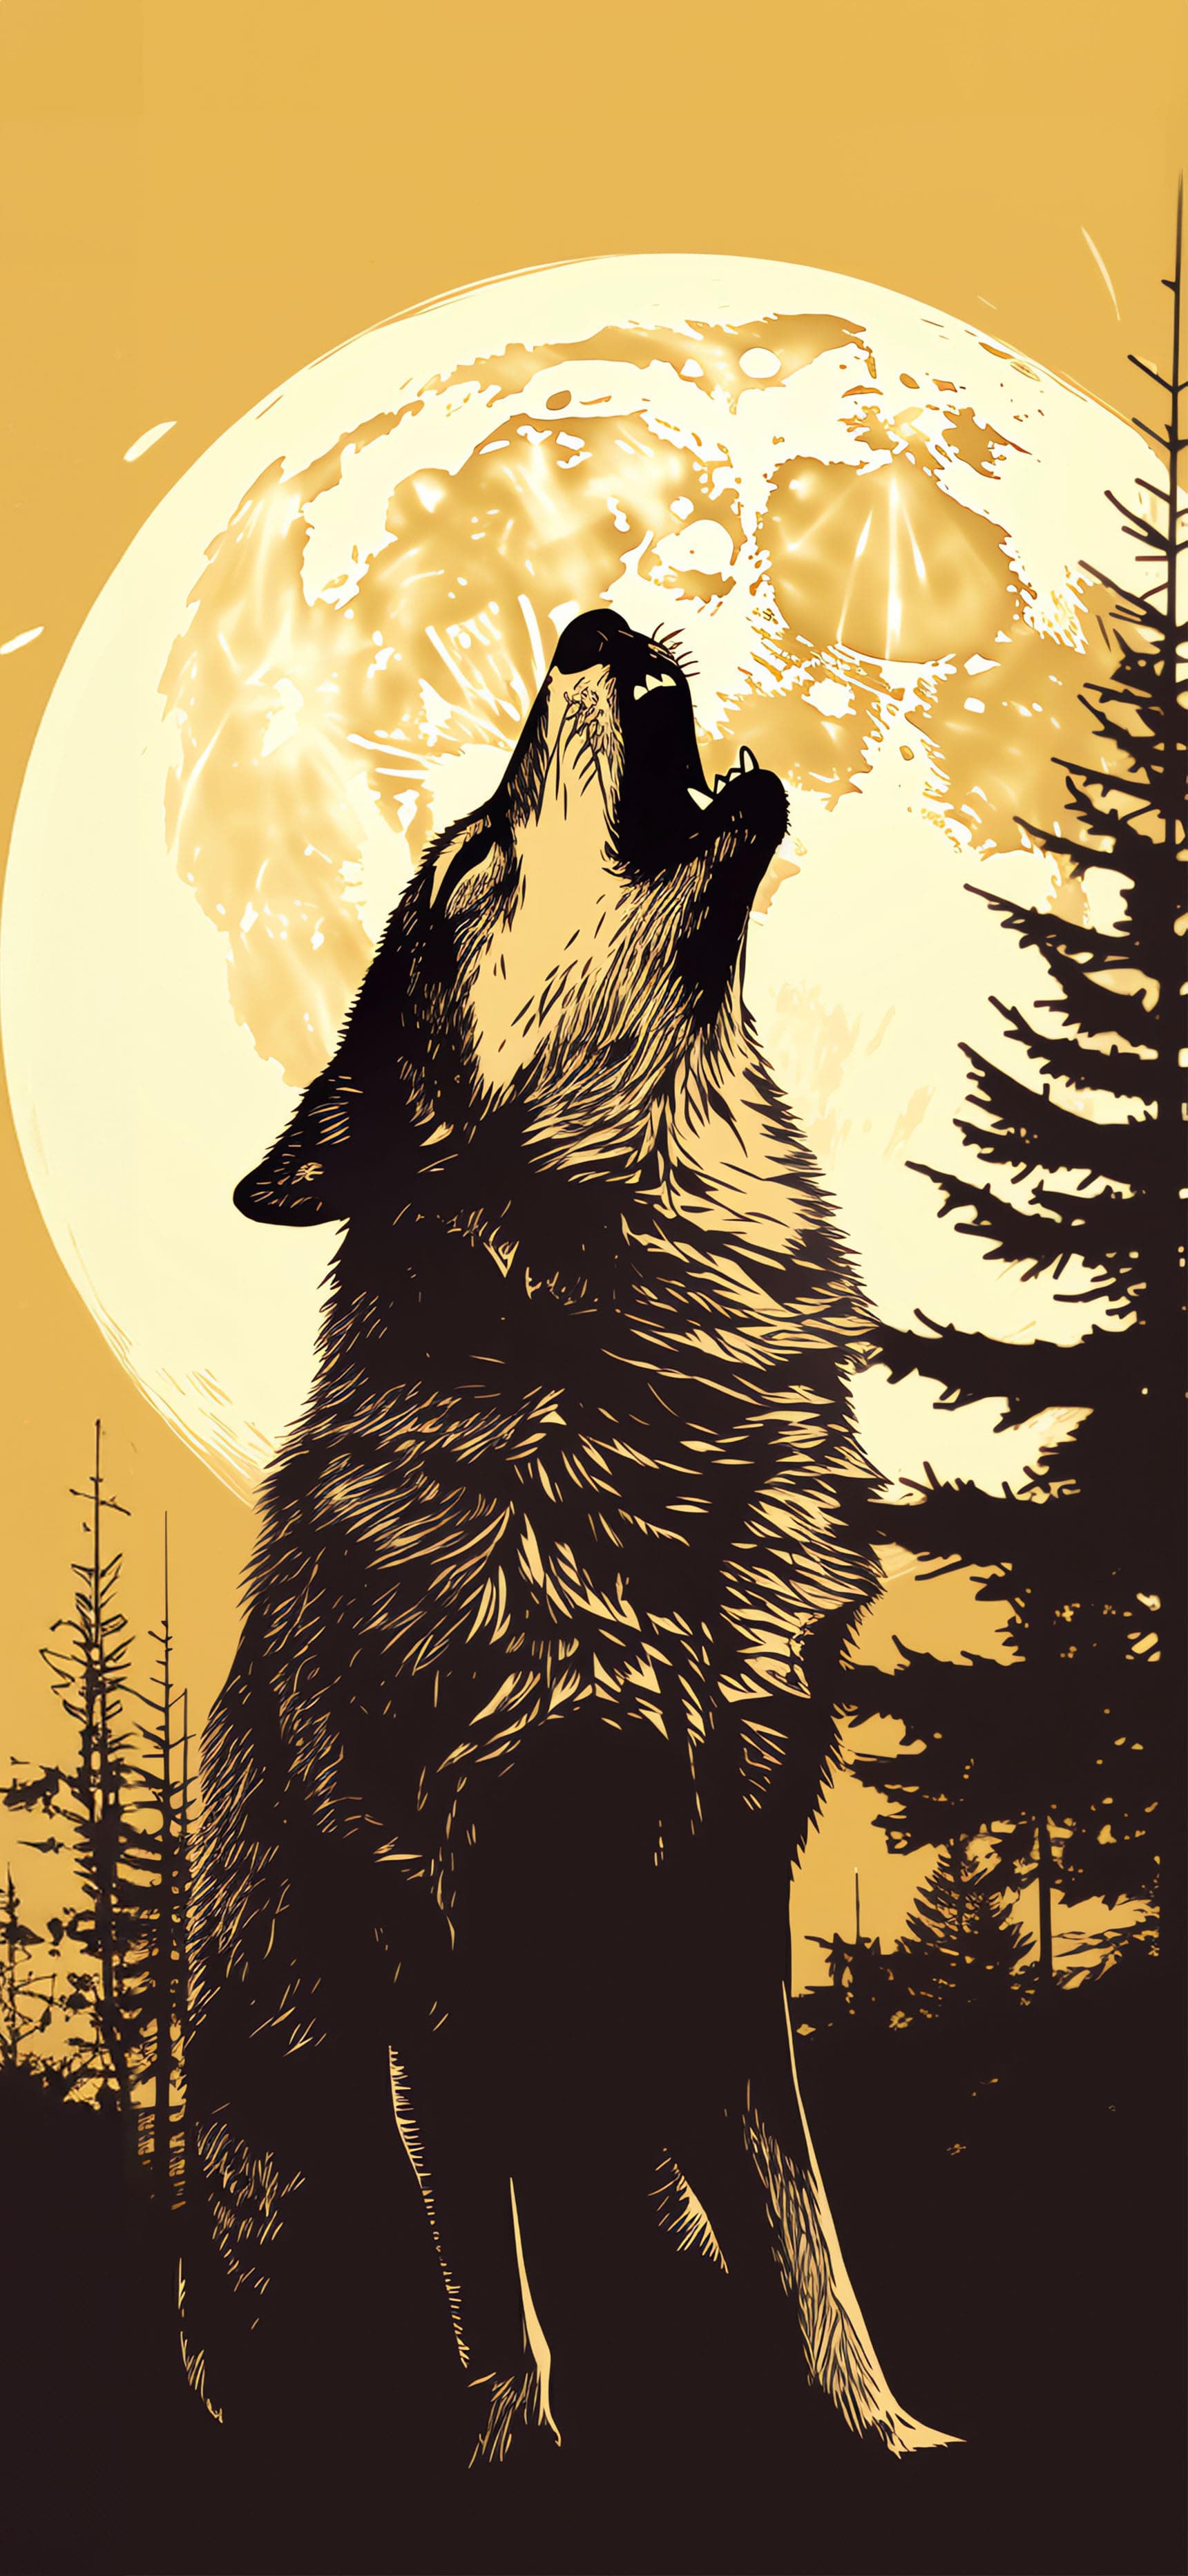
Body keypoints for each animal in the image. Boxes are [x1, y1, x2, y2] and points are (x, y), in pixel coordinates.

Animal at [183, 606, 948, 2465]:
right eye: (470, 862)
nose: (591, 623)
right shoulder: (443, 1966)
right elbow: (499, 2305)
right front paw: (524, 2467)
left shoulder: (727, 1918)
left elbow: (808, 2240)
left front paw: (885, 2435)